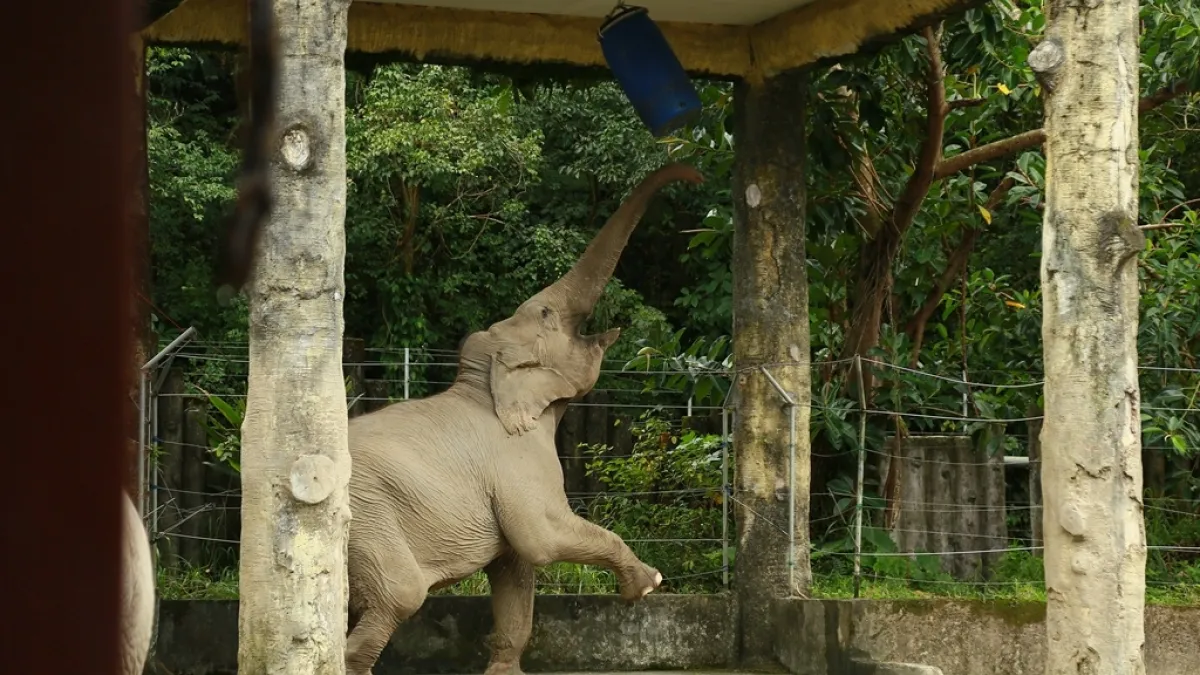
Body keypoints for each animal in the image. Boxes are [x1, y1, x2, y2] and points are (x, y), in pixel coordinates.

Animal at [344, 162, 705, 675]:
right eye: (549, 313)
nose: (696, 176)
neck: (484, 383)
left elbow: (515, 570)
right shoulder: (518, 464)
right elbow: (542, 539)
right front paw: (650, 584)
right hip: (369, 518)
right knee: (400, 594)